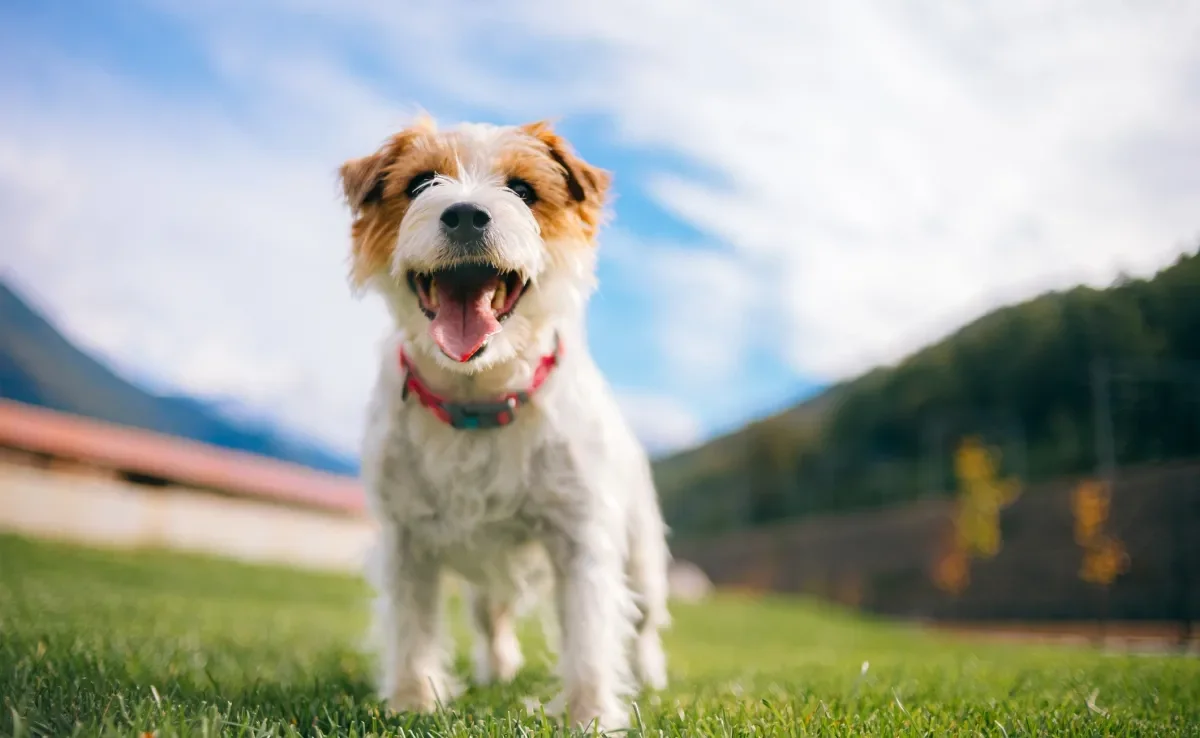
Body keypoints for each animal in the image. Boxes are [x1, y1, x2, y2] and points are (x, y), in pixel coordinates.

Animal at [343, 117, 672, 734]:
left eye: (523, 189)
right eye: (420, 182)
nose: (465, 214)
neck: (478, 399)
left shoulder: (580, 536)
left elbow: (589, 636)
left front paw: (591, 716)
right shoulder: (407, 540)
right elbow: (413, 628)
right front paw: (412, 702)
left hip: (642, 557)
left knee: (643, 623)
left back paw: (652, 675)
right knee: (490, 616)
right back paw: (498, 669)